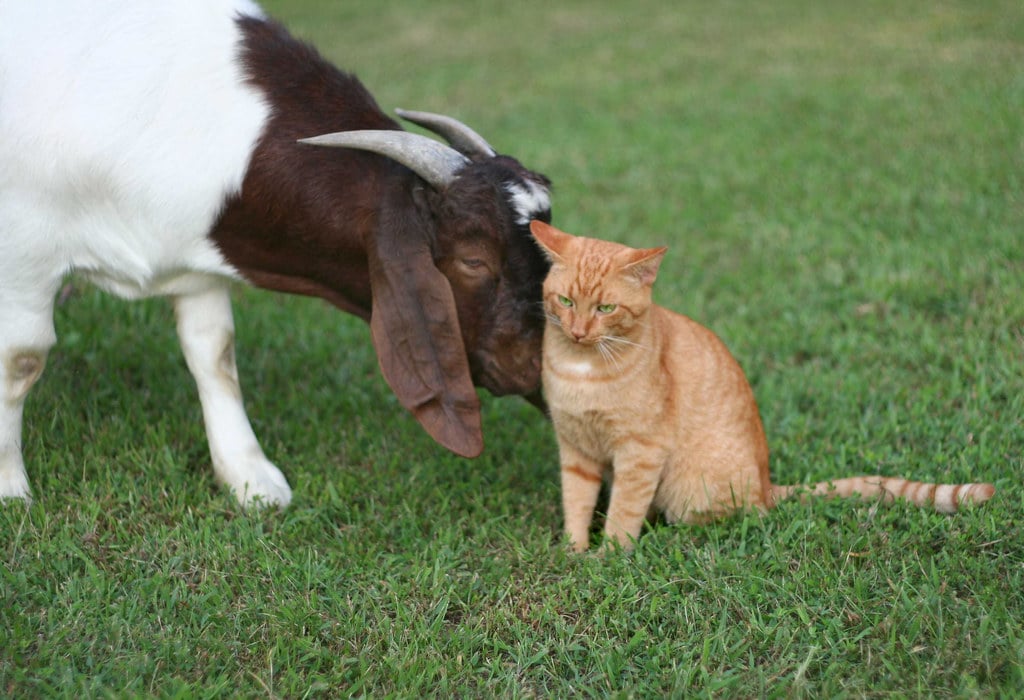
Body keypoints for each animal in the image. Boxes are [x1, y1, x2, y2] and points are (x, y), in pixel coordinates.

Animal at [0, 0, 552, 505]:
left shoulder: (193, 263)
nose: (543, 368)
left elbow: (214, 353)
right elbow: (21, 361)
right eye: (473, 260)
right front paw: (10, 490)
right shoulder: (25, 253)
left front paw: (251, 481)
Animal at [532, 220, 995, 552]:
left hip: (691, 493)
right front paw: (574, 552)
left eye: (605, 309)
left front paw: (609, 556)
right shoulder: (574, 448)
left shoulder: (640, 452)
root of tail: (767, 485)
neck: (582, 366)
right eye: (567, 302)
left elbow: (624, 510)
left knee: (732, 517)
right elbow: (576, 502)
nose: (577, 332)